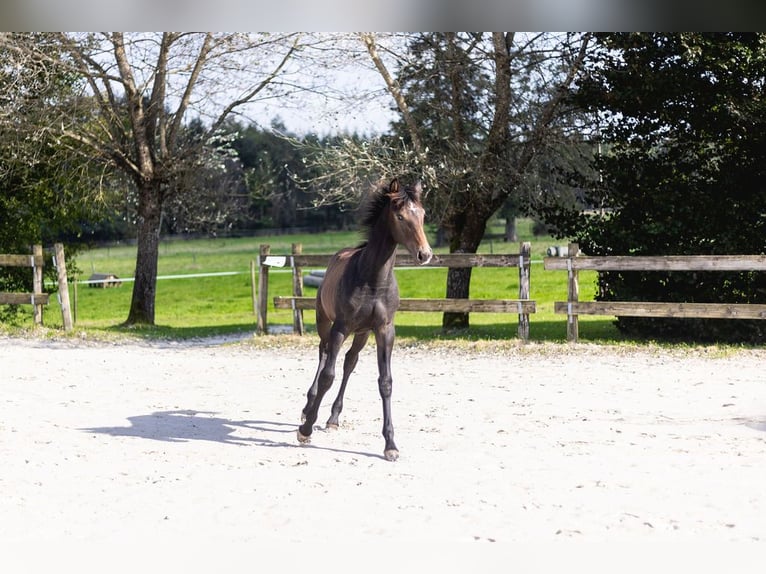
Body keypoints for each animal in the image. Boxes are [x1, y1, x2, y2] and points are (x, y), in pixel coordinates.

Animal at [298, 178, 436, 462]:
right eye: (400, 216)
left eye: (423, 214)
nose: (424, 254)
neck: (373, 280)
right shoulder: (340, 328)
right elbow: (328, 375)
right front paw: (305, 430)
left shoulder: (384, 330)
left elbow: (385, 382)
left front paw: (390, 445)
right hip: (325, 322)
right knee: (323, 353)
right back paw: (307, 408)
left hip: (361, 333)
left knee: (350, 362)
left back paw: (333, 418)